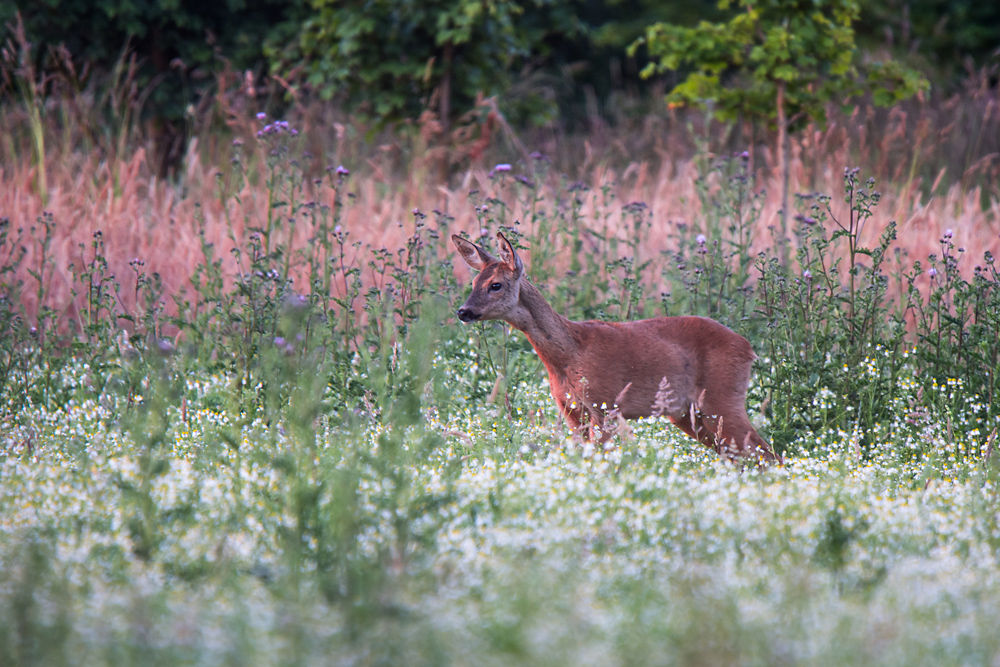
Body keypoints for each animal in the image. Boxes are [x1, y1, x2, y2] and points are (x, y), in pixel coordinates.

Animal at [456, 232, 780, 468]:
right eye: (473, 281)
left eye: (495, 284)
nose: (463, 311)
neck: (569, 354)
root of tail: (749, 349)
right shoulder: (572, 411)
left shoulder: (605, 404)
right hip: (690, 415)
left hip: (722, 400)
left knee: (769, 455)